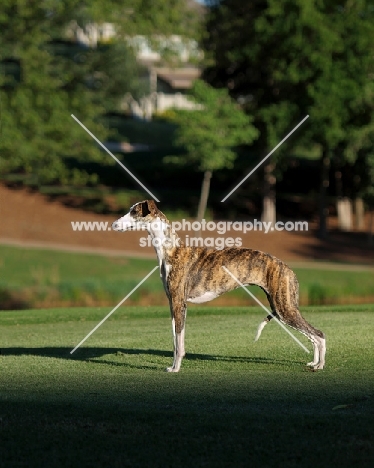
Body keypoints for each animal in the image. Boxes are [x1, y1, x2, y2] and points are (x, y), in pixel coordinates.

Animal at [112, 200, 326, 372]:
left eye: (134, 211)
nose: (113, 224)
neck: (171, 250)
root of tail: (288, 269)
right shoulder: (175, 304)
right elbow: (176, 341)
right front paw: (173, 366)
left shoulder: (178, 303)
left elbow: (178, 342)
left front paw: (175, 369)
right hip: (281, 308)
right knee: (312, 336)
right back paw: (314, 363)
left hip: (284, 308)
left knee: (319, 334)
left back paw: (320, 365)